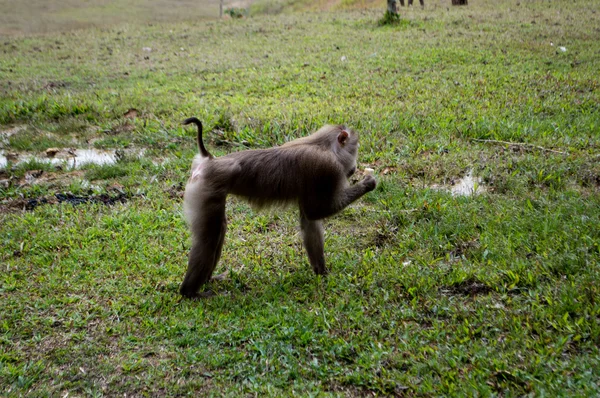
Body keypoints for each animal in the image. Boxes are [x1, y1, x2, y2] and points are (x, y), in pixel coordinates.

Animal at [179, 118, 376, 298]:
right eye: (354, 148)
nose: (355, 167)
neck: (324, 146)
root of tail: (210, 160)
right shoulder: (327, 169)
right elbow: (316, 211)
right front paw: (368, 183)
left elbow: (309, 220)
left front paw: (322, 272)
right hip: (207, 189)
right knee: (210, 237)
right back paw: (189, 292)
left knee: (218, 230)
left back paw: (207, 281)